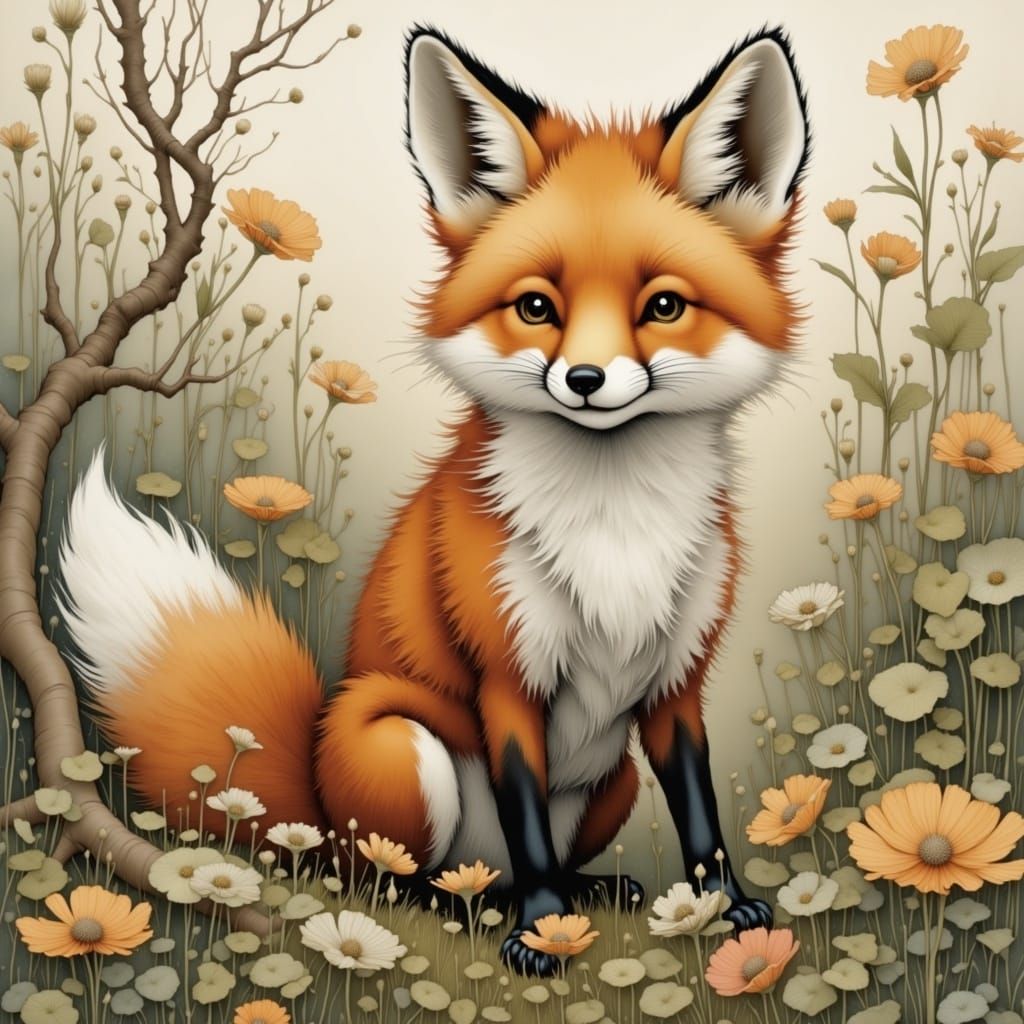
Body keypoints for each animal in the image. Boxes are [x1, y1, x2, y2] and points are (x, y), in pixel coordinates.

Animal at [59, 26, 810, 975]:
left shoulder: (678, 682)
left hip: (612, 776)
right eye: (537, 307)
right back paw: (474, 906)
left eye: (665, 306)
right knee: (393, 879)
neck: (613, 525)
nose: (586, 380)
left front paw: (727, 908)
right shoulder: (507, 673)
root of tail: (309, 796)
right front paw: (541, 931)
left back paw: (590, 888)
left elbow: (700, 812)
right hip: (399, 747)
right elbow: (528, 825)